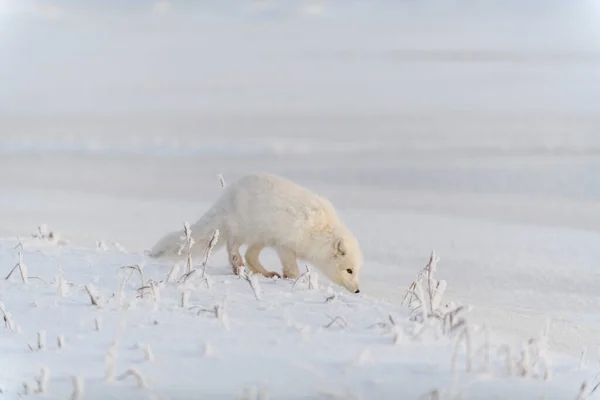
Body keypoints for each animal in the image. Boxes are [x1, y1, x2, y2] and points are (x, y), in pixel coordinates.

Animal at [150, 173, 366, 294]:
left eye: (356, 271)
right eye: (349, 270)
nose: (357, 290)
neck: (320, 231)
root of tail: (227, 194)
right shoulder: (285, 245)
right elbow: (293, 269)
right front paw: (294, 281)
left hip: (262, 237)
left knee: (250, 255)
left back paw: (266, 273)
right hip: (246, 231)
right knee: (233, 248)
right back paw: (238, 266)